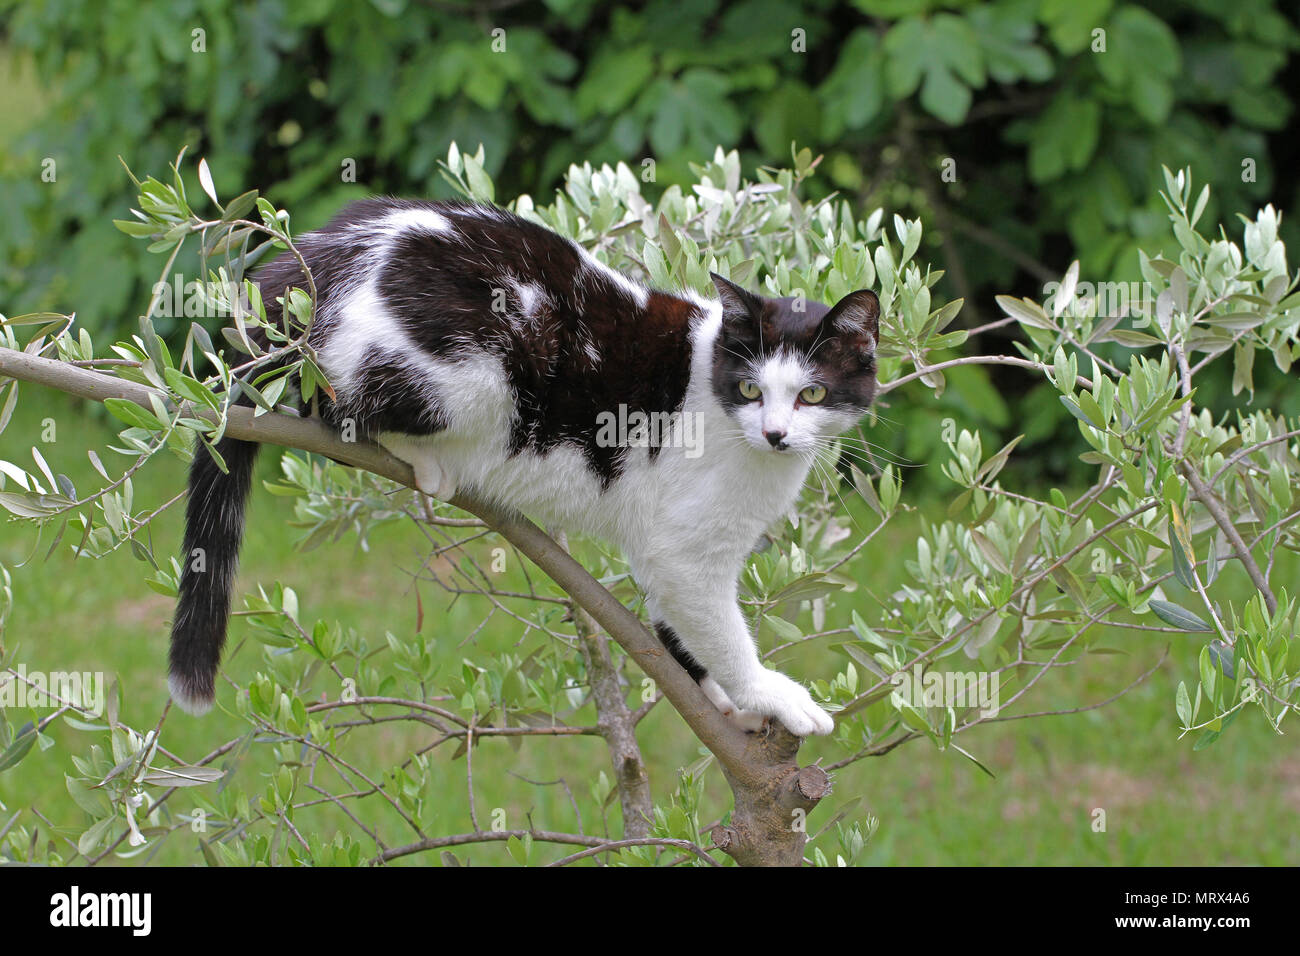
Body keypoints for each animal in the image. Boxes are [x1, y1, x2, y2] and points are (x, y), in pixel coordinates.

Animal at [167, 197, 878, 738]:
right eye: (752, 389)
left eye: (812, 394)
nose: (776, 433)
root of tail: (314, 254)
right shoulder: (689, 552)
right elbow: (722, 633)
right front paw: (771, 697)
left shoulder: (665, 549)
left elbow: (677, 625)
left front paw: (723, 702)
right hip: (475, 368)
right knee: (330, 406)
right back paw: (427, 460)